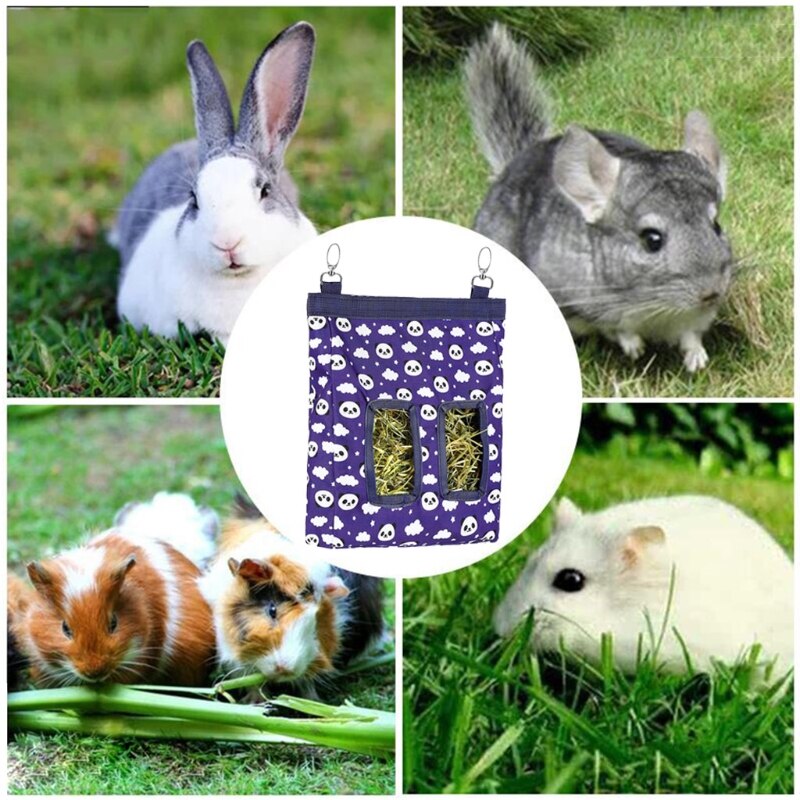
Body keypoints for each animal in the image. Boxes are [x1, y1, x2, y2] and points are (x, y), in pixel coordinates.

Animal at [465, 24, 733, 372]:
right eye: (652, 239)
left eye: (716, 225)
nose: (712, 293)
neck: (656, 308)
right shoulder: (581, 298)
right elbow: (615, 327)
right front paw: (636, 349)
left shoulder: (692, 320)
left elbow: (690, 335)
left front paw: (697, 360)